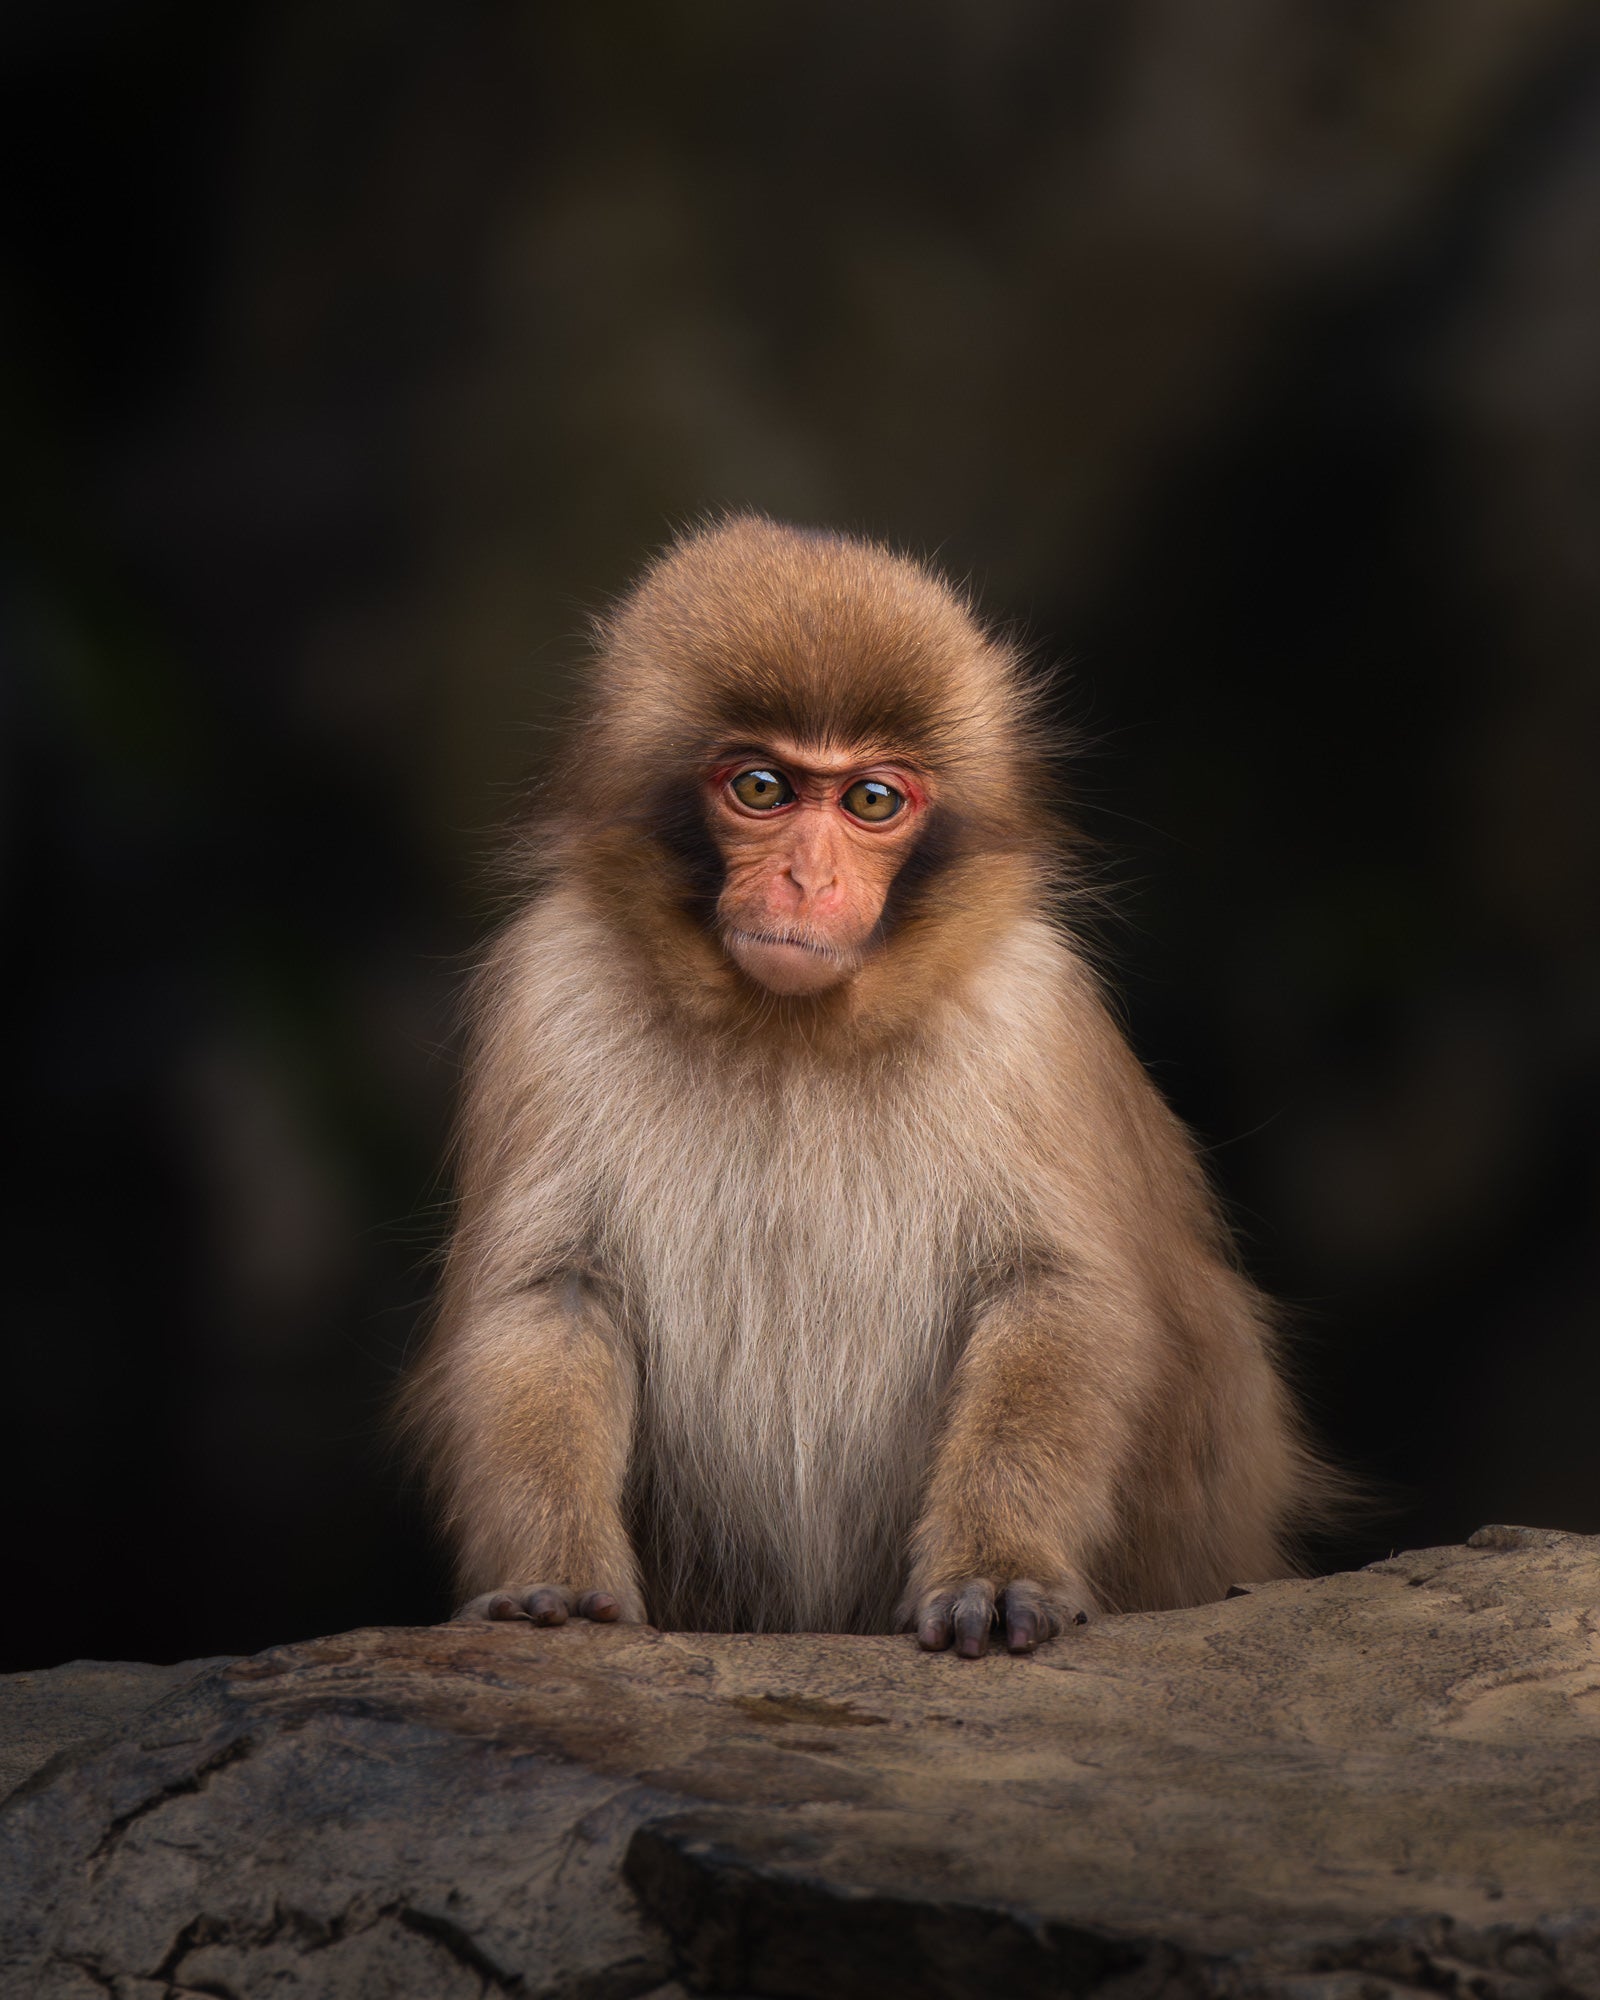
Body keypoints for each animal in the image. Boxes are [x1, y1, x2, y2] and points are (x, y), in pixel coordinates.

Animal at [400, 515, 1333, 1660]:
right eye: (762, 788)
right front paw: (559, 1575)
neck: (791, 1032)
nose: (809, 881)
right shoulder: (551, 989)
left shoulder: (1026, 1013)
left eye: (871, 800)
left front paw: (996, 1564)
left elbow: (1053, 1293)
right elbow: (550, 1298)